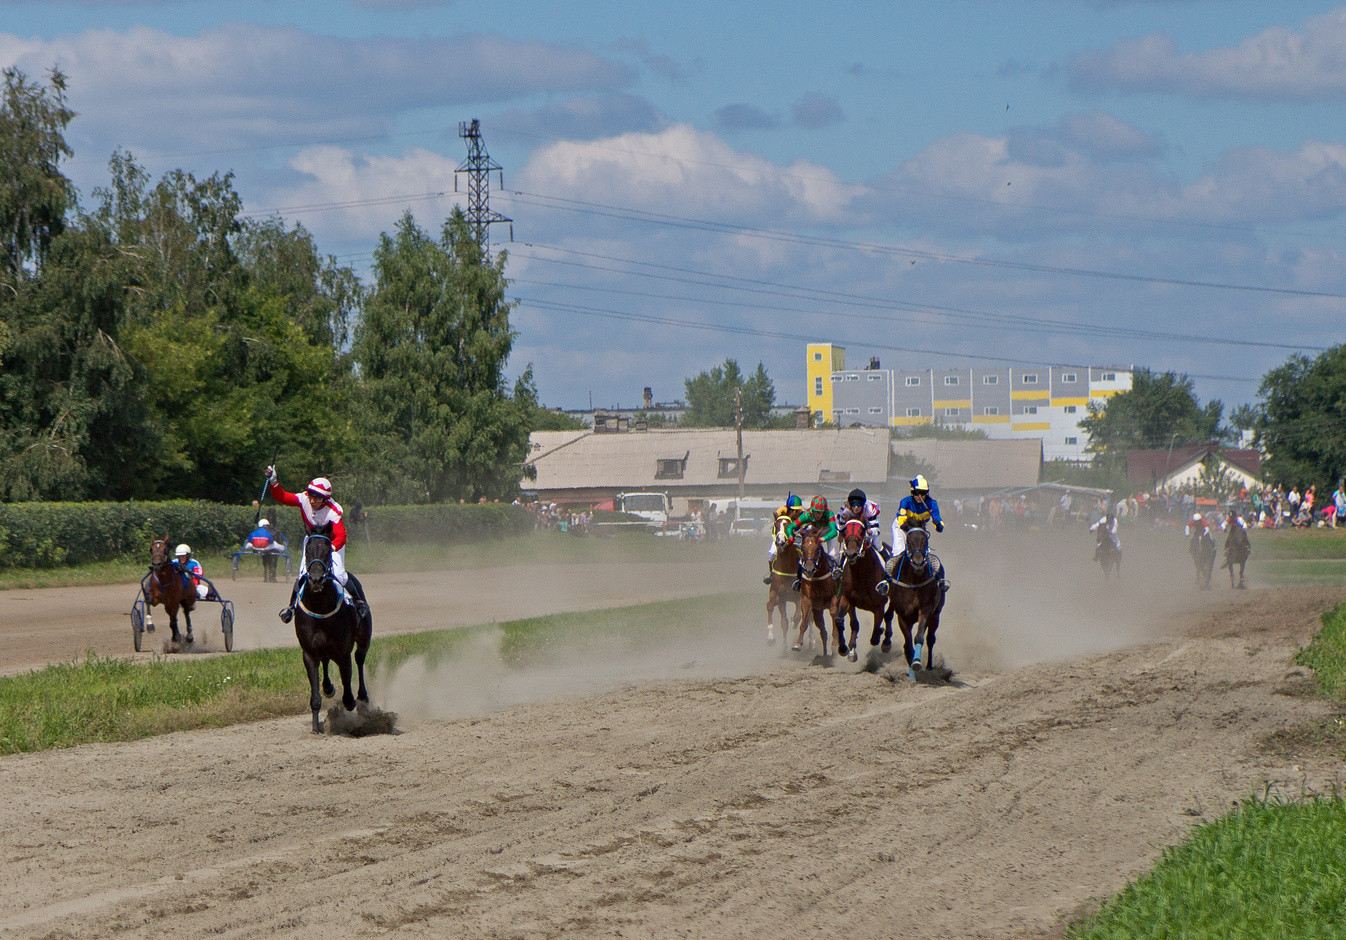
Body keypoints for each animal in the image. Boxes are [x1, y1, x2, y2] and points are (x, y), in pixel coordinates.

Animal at [296, 533, 374, 732]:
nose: (315, 579)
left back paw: (362, 696)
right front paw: (315, 728)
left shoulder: (343, 652)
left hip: (364, 638)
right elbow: (315, 695)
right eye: (307, 550)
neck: (320, 606)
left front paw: (351, 702)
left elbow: (347, 683)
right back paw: (328, 687)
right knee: (325, 660)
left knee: (359, 658)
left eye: (327, 552)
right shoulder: (309, 652)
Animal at [829, 517, 893, 662]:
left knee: (889, 615)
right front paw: (846, 649)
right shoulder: (848, 599)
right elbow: (848, 623)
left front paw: (880, 633)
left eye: (861, 531)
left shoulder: (879, 605)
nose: (851, 554)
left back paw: (886, 642)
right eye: (845, 531)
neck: (862, 575)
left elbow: (876, 632)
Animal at [893, 527, 947, 673]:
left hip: (936, 615)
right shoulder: (902, 614)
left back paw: (929, 666)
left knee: (930, 639)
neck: (914, 580)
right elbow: (907, 643)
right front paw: (910, 660)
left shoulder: (926, 609)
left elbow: (919, 637)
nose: (918, 564)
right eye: (908, 541)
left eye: (925, 541)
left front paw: (916, 662)